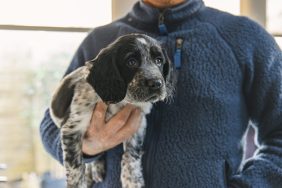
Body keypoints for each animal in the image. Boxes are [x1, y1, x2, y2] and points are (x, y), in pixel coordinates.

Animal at [49, 33, 175, 188]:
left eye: (158, 61)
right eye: (131, 62)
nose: (156, 83)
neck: (122, 100)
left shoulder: (138, 124)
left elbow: (131, 154)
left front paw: (132, 180)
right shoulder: (72, 128)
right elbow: (75, 168)